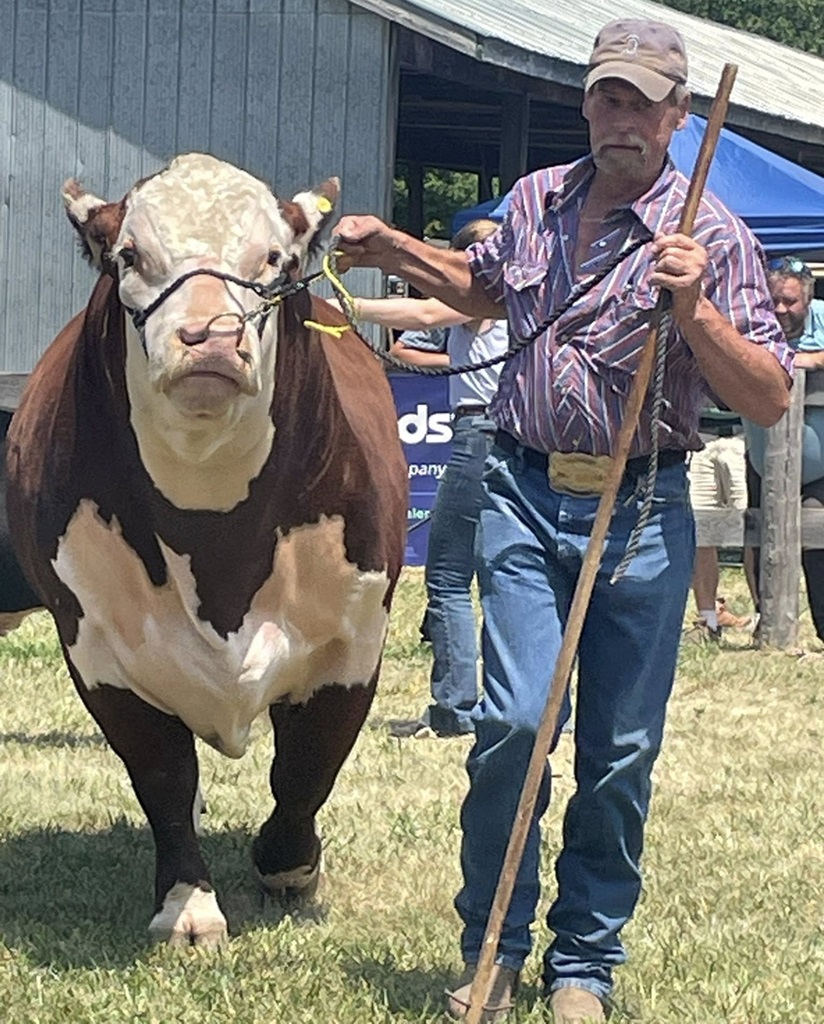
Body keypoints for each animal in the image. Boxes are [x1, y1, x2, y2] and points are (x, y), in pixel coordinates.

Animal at [5, 153, 408, 948]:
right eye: (130, 256)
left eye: (275, 261)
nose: (211, 337)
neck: (216, 537)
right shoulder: (99, 650)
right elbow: (164, 776)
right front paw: (188, 907)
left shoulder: (355, 640)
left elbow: (307, 768)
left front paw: (290, 866)